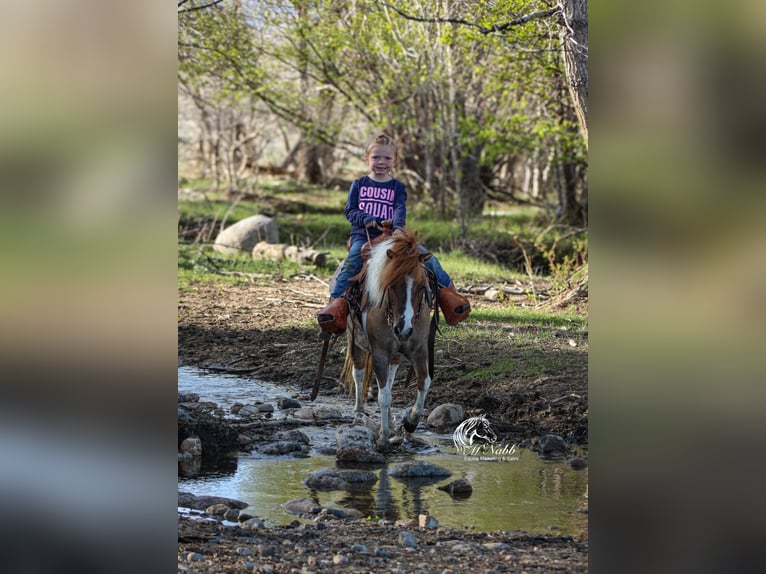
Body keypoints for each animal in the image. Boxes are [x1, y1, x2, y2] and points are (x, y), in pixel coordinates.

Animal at [344, 229, 437, 449]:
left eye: (422, 286)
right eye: (392, 285)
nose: (403, 330)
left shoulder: (418, 351)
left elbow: (424, 382)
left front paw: (410, 423)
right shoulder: (380, 353)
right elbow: (383, 396)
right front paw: (384, 436)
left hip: (396, 356)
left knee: (390, 380)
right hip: (355, 343)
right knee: (358, 375)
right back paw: (359, 414)